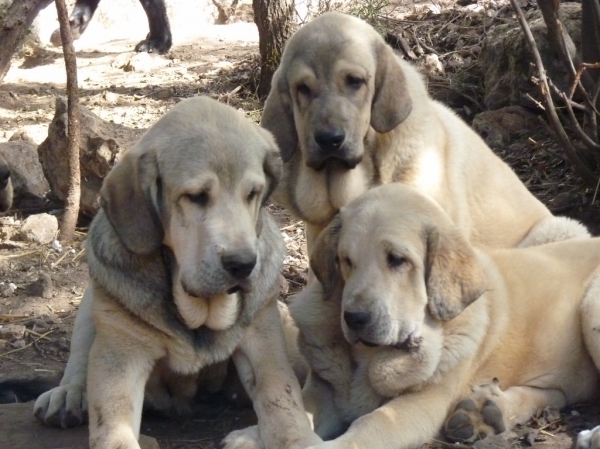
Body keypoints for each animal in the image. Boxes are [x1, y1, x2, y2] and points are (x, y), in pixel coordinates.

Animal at [284, 183, 600, 448]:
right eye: (346, 260)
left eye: (397, 260)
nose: (355, 318)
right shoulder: (322, 389)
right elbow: (299, 413)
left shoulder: (421, 406)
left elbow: (369, 426)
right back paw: (486, 411)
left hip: (591, 306)